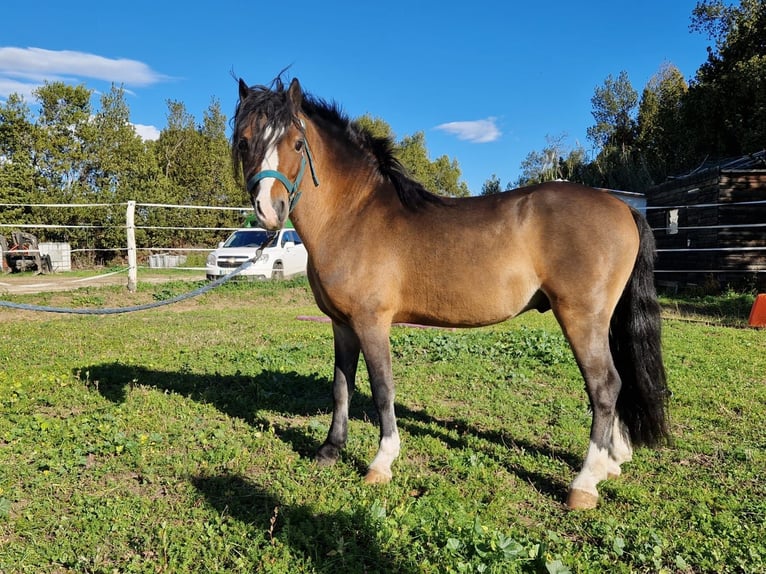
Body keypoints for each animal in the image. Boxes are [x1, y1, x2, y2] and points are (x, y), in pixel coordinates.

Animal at [234, 76, 672, 512]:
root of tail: (621, 206)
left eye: (296, 143)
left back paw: (584, 484)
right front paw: (330, 450)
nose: (269, 210)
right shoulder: (341, 324)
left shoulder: (371, 322)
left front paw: (381, 463)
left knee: (605, 386)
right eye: (244, 141)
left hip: (582, 317)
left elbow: (381, 388)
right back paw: (612, 463)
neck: (354, 215)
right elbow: (343, 385)